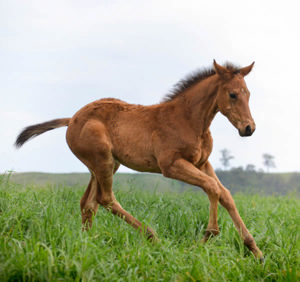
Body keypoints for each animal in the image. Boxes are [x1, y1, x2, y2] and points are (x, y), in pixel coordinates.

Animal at [15, 60, 262, 260]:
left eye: (249, 93)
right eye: (232, 94)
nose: (248, 128)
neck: (189, 120)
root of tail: (72, 119)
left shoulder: (202, 163)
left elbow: (225, 194)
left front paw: (254, 249)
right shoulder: (171, 165)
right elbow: (212, 187)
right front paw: (209, 236)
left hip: (105, 165)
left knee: (89, 202)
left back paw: (87, 244)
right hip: (103, 160)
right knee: (105, 198)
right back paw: (152, 237)